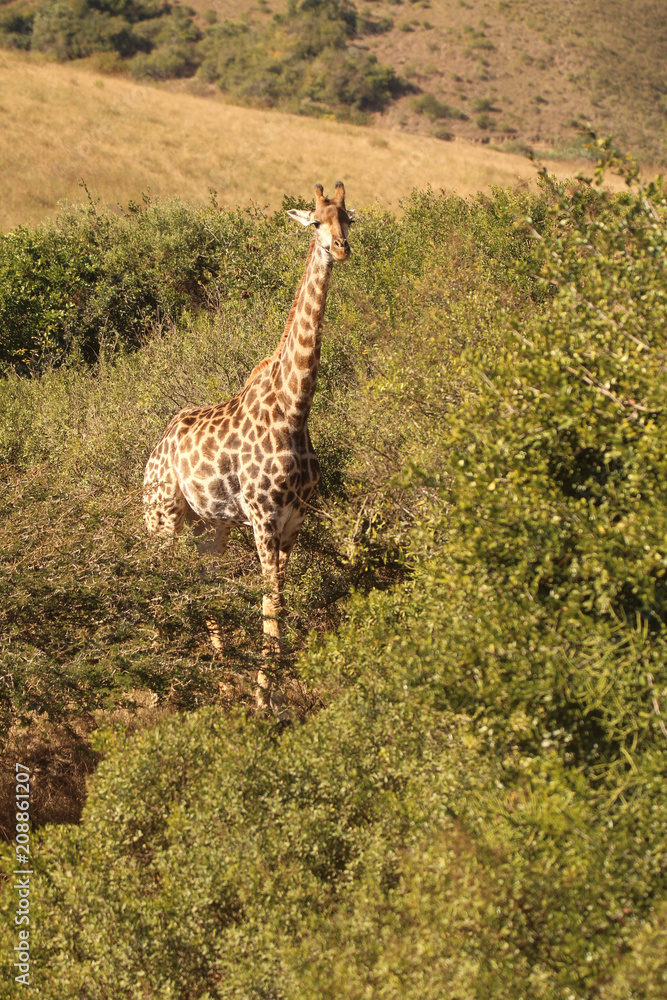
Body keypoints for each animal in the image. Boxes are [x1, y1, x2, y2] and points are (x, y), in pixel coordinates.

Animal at [143, 182, 354, 708]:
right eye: (315, 222)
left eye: (348, 218)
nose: (341, 249)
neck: (294, 409)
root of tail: (153, 453)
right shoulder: (261, 518)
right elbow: (270, 603)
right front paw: (264, 699)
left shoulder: (294, 520)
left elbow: (278, 599)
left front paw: (270, 686)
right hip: (162, 519)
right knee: (156, 579)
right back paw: (157, 689)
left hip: (209, 526)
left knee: (204, 582)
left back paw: (219, 680)